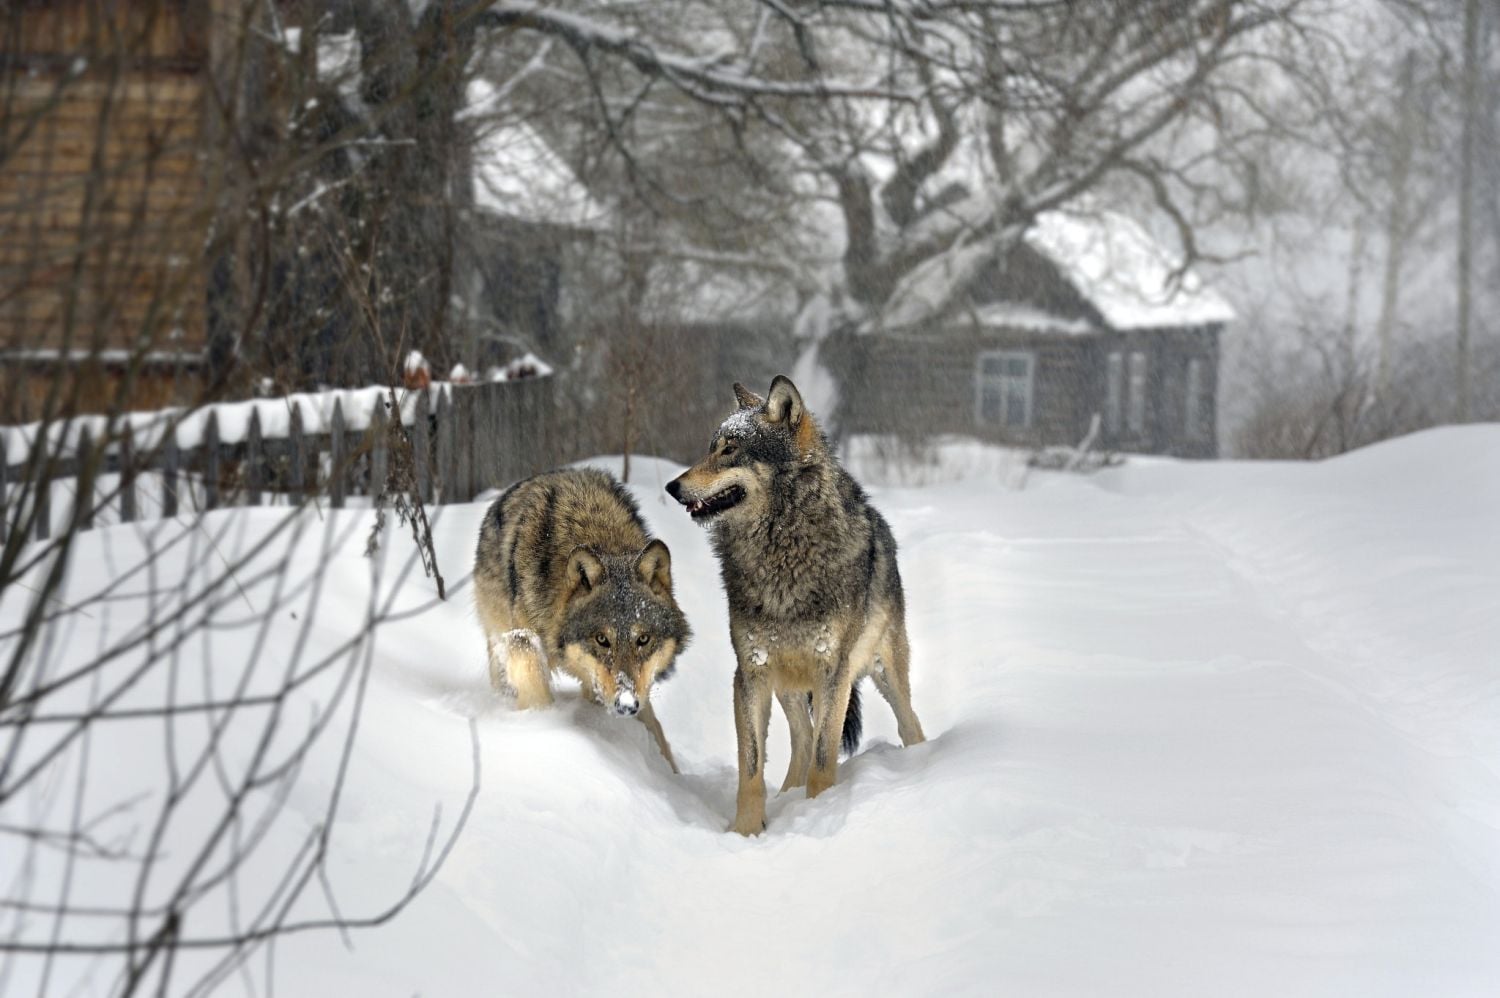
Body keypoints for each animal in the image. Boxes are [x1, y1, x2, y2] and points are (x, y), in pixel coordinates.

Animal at [474, 468, 690, 768]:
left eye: (643, 639)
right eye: (602, 639)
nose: (626, 705)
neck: (598, 535)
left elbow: (654, 727)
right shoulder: (523, 642)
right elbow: (536, 693)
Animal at [669, 373, 924, 834]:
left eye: (730, 449)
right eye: (711, 446)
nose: (672, 487)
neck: (781, 552)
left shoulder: (833, 672)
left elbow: (824, 760)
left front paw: (820, 816)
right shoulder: (750, 672)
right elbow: (751, 767)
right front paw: (746, 831)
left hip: (883, 672)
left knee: (908, 722)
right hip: (788, 685)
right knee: (802, 741)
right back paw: (787, 797)